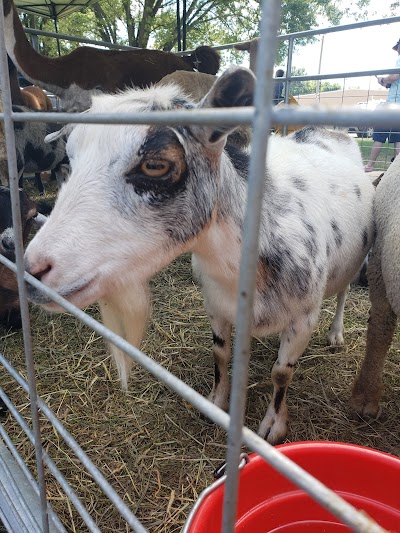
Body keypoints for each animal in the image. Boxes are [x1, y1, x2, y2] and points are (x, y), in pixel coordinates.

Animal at [24, 67, 376, 444]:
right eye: (71, 158)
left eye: (155, 165)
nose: (34, 269)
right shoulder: (215, 303)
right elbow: (219, 352)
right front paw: (216, 403)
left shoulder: (304, 318)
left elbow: (281, 373)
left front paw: (273, 427)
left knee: (342, 293)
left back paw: (336, 335)